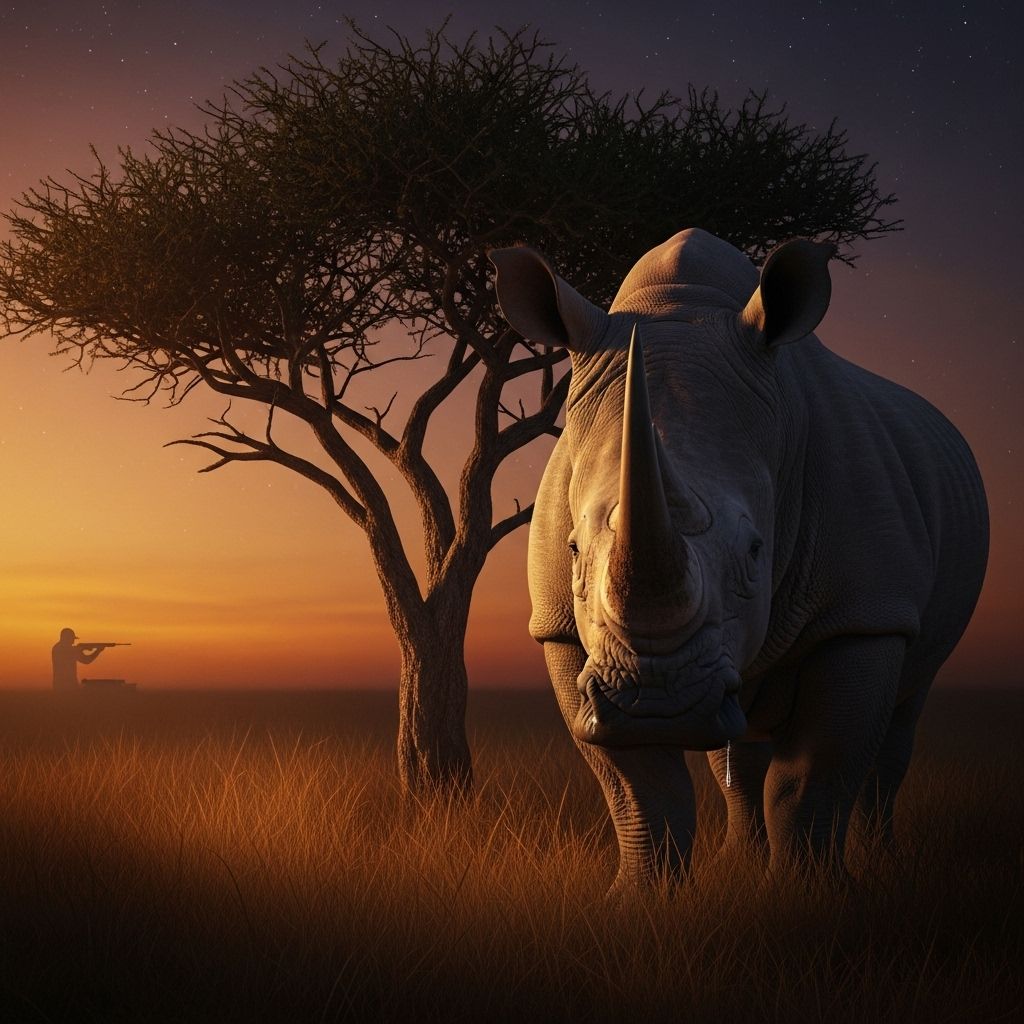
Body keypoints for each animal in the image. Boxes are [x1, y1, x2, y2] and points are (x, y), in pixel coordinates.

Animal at [489, 229, 988, 890]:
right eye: (572, 550)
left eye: (756, 551)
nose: (657, 703)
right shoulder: (561, 628)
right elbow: (640, 787)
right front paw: (641, 897)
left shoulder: (865, 613)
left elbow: (812, 775)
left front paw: (808, 894)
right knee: (744, 740)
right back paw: (741, 863)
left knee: (901, 715)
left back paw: (881, 864)